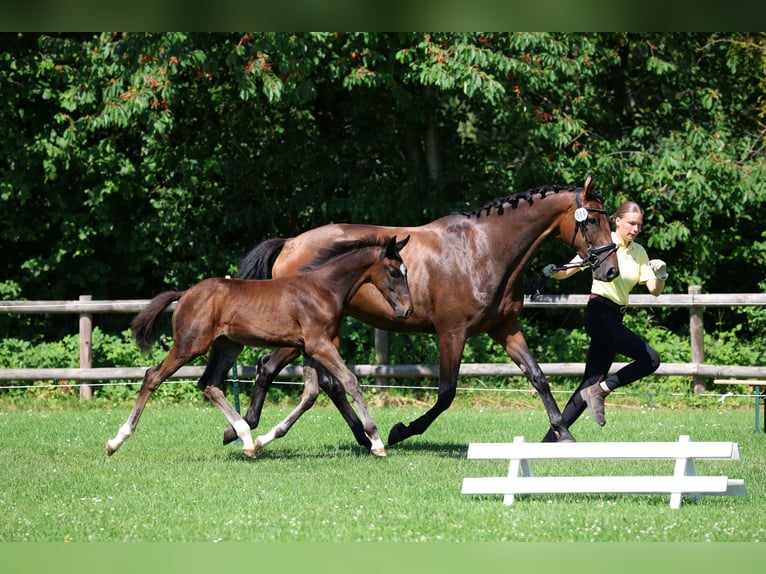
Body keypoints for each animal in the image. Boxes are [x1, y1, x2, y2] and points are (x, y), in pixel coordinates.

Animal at [106, 235, 413, 458]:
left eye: (405, 271)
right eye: (394, 271)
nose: (407, 311)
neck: (324, 289)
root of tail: (186, 294)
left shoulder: (311, 348)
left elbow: (311, 394)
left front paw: (266, 438)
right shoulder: (320, 345)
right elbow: (350, 382)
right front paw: (376, 441)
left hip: (228, 347)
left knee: (209, 383)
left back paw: (246, 438)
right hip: (190, 345)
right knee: (153, 377)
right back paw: (116, 441)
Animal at [223, 175, 619, 448]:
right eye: (592, 220)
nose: (611, 270)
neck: (484, 249)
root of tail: (290, 243)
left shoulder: (505, 327)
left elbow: (537, 376)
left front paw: (563, 433)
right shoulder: (452, 333)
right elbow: (446, 393)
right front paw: (402, 431)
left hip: (322, 332)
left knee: (327, 383)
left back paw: (360, 438)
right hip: (305, 333)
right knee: (270, 367)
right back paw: (244, 428)